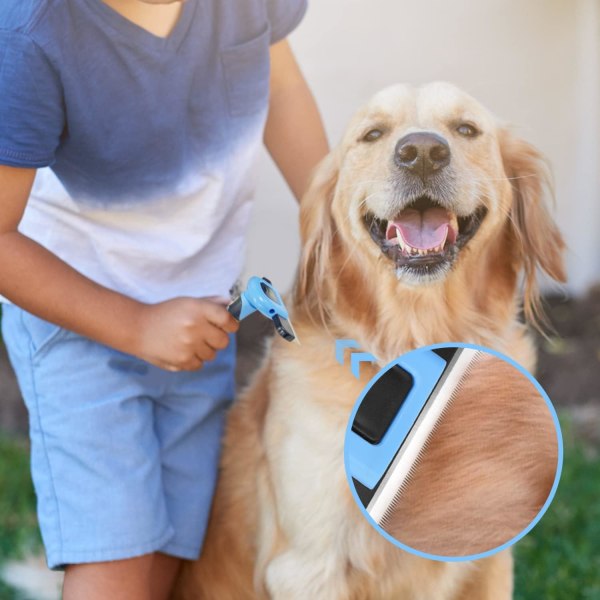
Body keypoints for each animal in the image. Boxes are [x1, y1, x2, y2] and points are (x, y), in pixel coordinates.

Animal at [171, 83, 564, 600]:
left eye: (466, 129)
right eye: (373, 134)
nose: (422, 153)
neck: (416, 333)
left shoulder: (491, 559)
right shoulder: (309, 566)